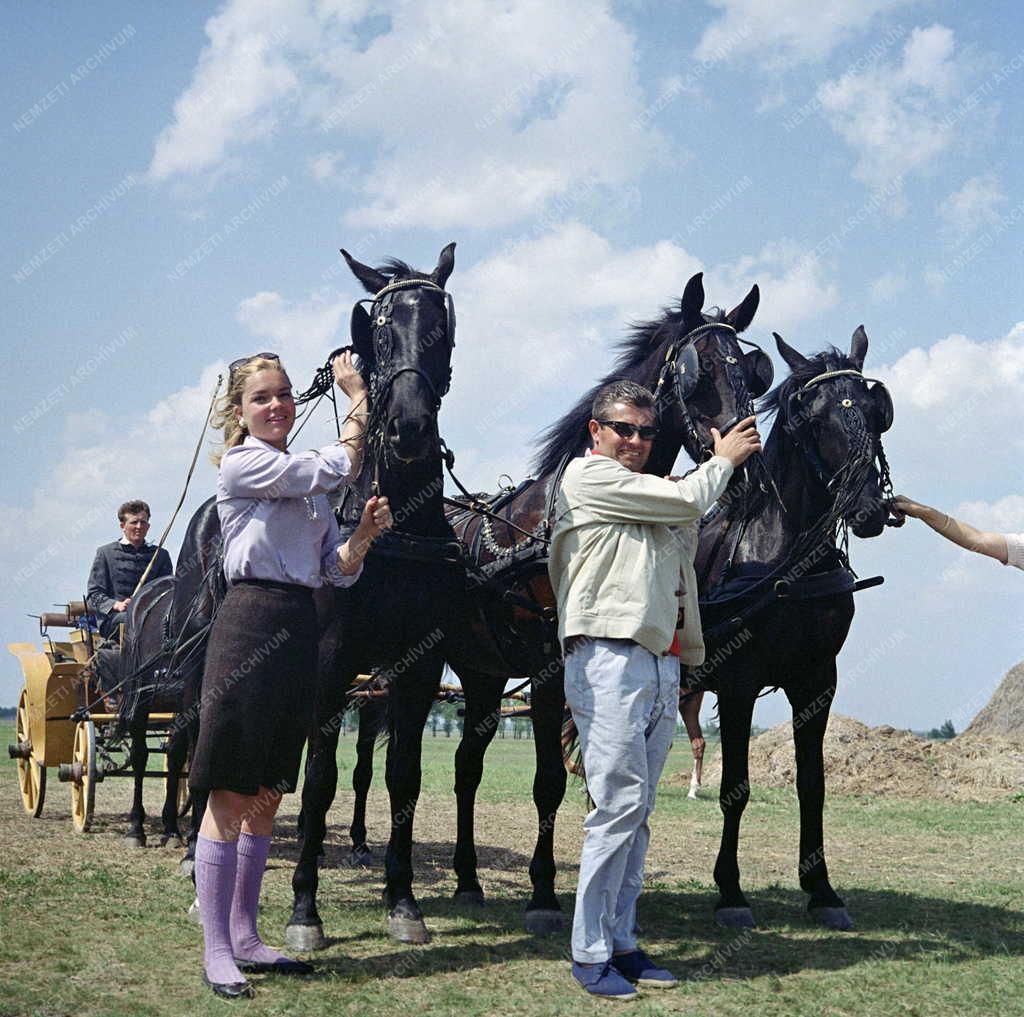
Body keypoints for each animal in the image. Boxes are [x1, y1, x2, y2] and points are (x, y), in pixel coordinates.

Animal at [442, 270, 774, 929]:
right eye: (699, 374)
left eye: (753, 374)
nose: (746, 469)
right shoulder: (550, 668)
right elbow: (548, 781)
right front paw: (544, 895)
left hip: (482, 672)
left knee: (467, 767)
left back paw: (467, 879)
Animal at [696, 325, 897, 929]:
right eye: (812, 417)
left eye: (875, 412)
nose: (866, 509)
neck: (785, 563)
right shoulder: (737, 685)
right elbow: (735, 787)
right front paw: (731, 892)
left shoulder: (817, 681)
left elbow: (814, 784)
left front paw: (821, 888)